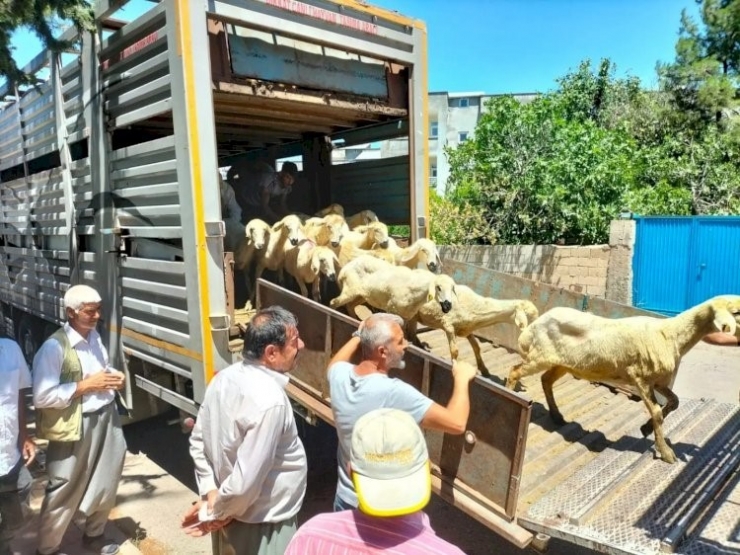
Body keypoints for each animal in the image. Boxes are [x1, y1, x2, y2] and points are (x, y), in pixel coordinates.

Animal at [408, 286, 540, 374]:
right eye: (529, 317)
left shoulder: (466, 329)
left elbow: (477, 347)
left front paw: (484, 369)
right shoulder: (448, 325)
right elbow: (455, 350)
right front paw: (455, 366)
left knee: (411, 330)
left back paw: (418, 344)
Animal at [502, 296, 740, 464]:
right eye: (736, 311)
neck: (671, 334)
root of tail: (533, 325)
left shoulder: (658, 381)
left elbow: (674, 402)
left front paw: (647, 428)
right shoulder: (640, 378)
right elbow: (657, 412)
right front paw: (665, 452)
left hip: (563, 362)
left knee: (546, 380)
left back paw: (557, 416)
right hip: (539, 356)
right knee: (514, 371)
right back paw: (510, 397)